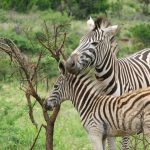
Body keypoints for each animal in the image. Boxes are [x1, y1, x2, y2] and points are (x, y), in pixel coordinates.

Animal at [65, 16, 150, 149]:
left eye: (95, 43)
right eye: (80, 41)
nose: (69, 64)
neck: (105, 84)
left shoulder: (123, 117)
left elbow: (124, 145)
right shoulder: (106, 116)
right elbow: (111, 143)